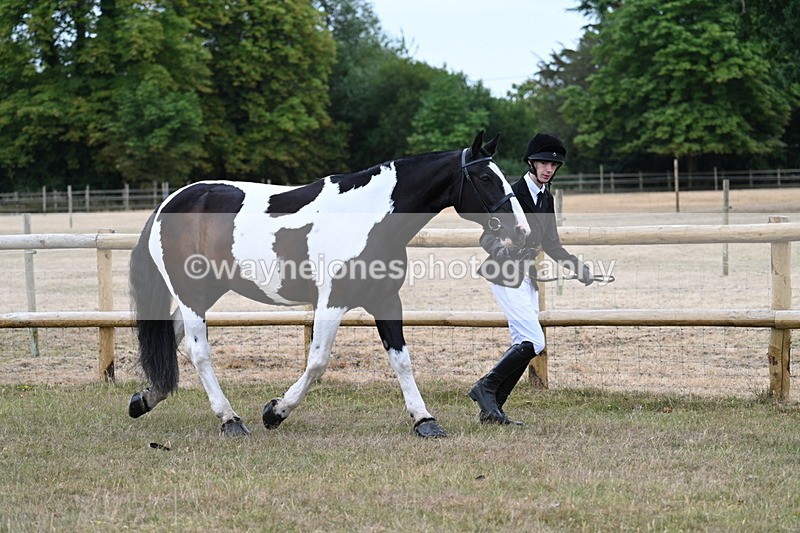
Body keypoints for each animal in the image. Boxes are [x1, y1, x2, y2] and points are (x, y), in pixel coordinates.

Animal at [127, 131, 530, 438]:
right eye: (485, 178)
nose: (521, 230)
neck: (367, 217)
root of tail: (168, 203)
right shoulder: (332, 302)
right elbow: (318, 361)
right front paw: (275, 411)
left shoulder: (386, 300)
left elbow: (402, 361)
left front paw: (425, 421)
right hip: (191, 294)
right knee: (199, 352)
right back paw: (230, 420)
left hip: (208, 291)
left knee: (172, 337)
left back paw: (145, 399)